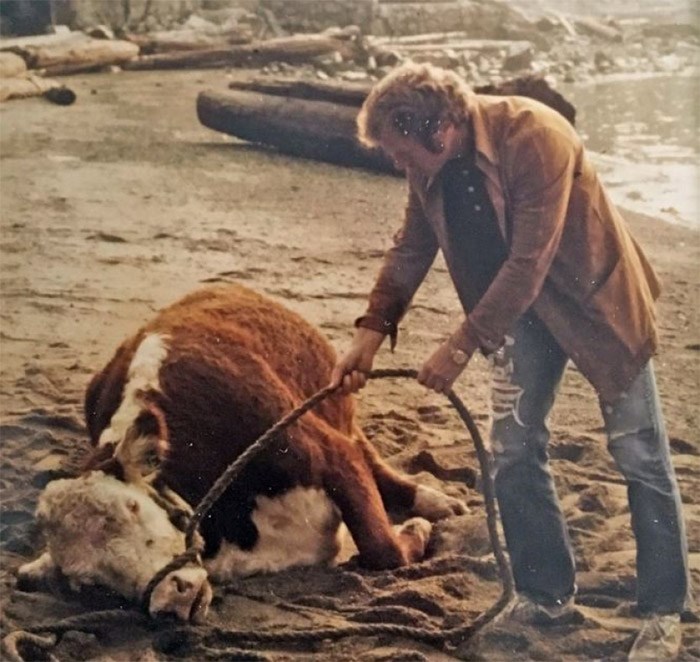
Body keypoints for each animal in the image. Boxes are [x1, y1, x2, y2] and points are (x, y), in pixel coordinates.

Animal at [17, 286, 464, 628]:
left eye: (133, 507)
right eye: (91, 583)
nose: (174, 598)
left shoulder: (330, 453)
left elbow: (380, 547)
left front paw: (419, 527)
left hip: (335, 405)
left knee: (367, 452)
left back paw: (437, 502)